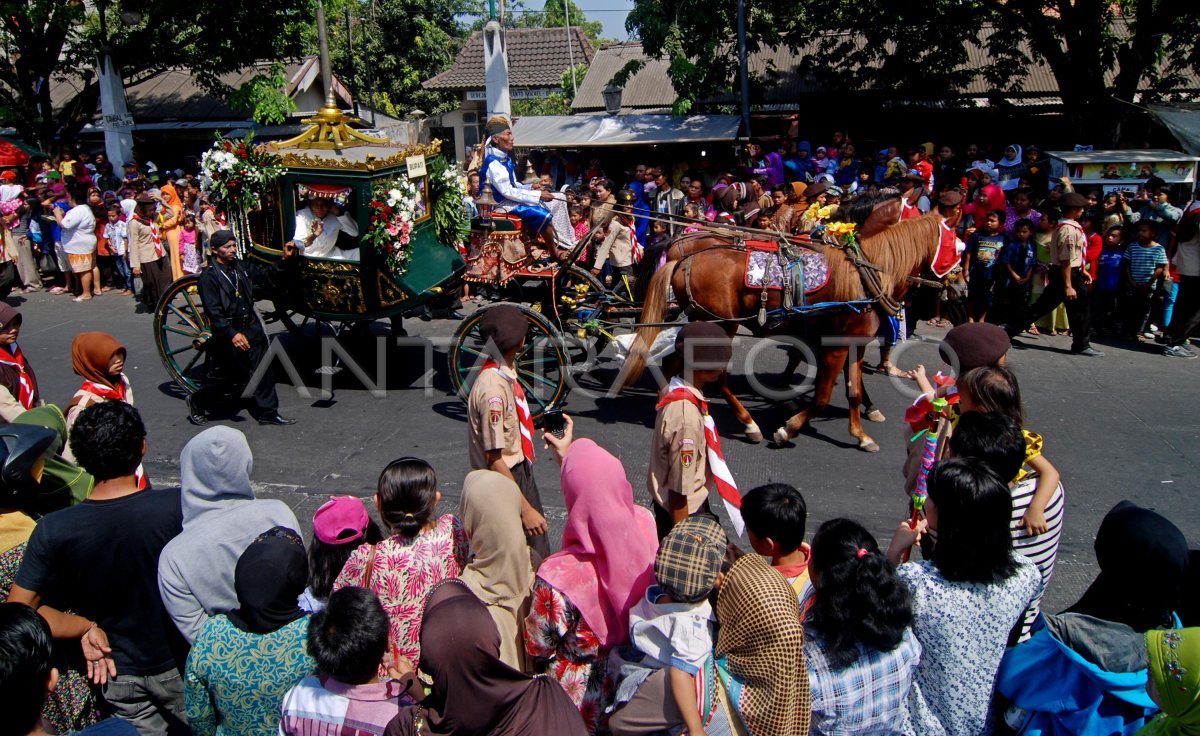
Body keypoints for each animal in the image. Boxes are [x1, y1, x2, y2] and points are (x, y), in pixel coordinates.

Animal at [619, 212, 945, 451]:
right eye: (951, 239)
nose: (948, 286)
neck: (865, 276)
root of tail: (683, 259)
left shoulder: (855, 343)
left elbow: (853, 389)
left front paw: (861, 433)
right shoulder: (835, 344)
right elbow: (822, 395)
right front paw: (788, 429)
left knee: (674, 362)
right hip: (721, 323)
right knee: (715, 374)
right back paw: (748, 424)